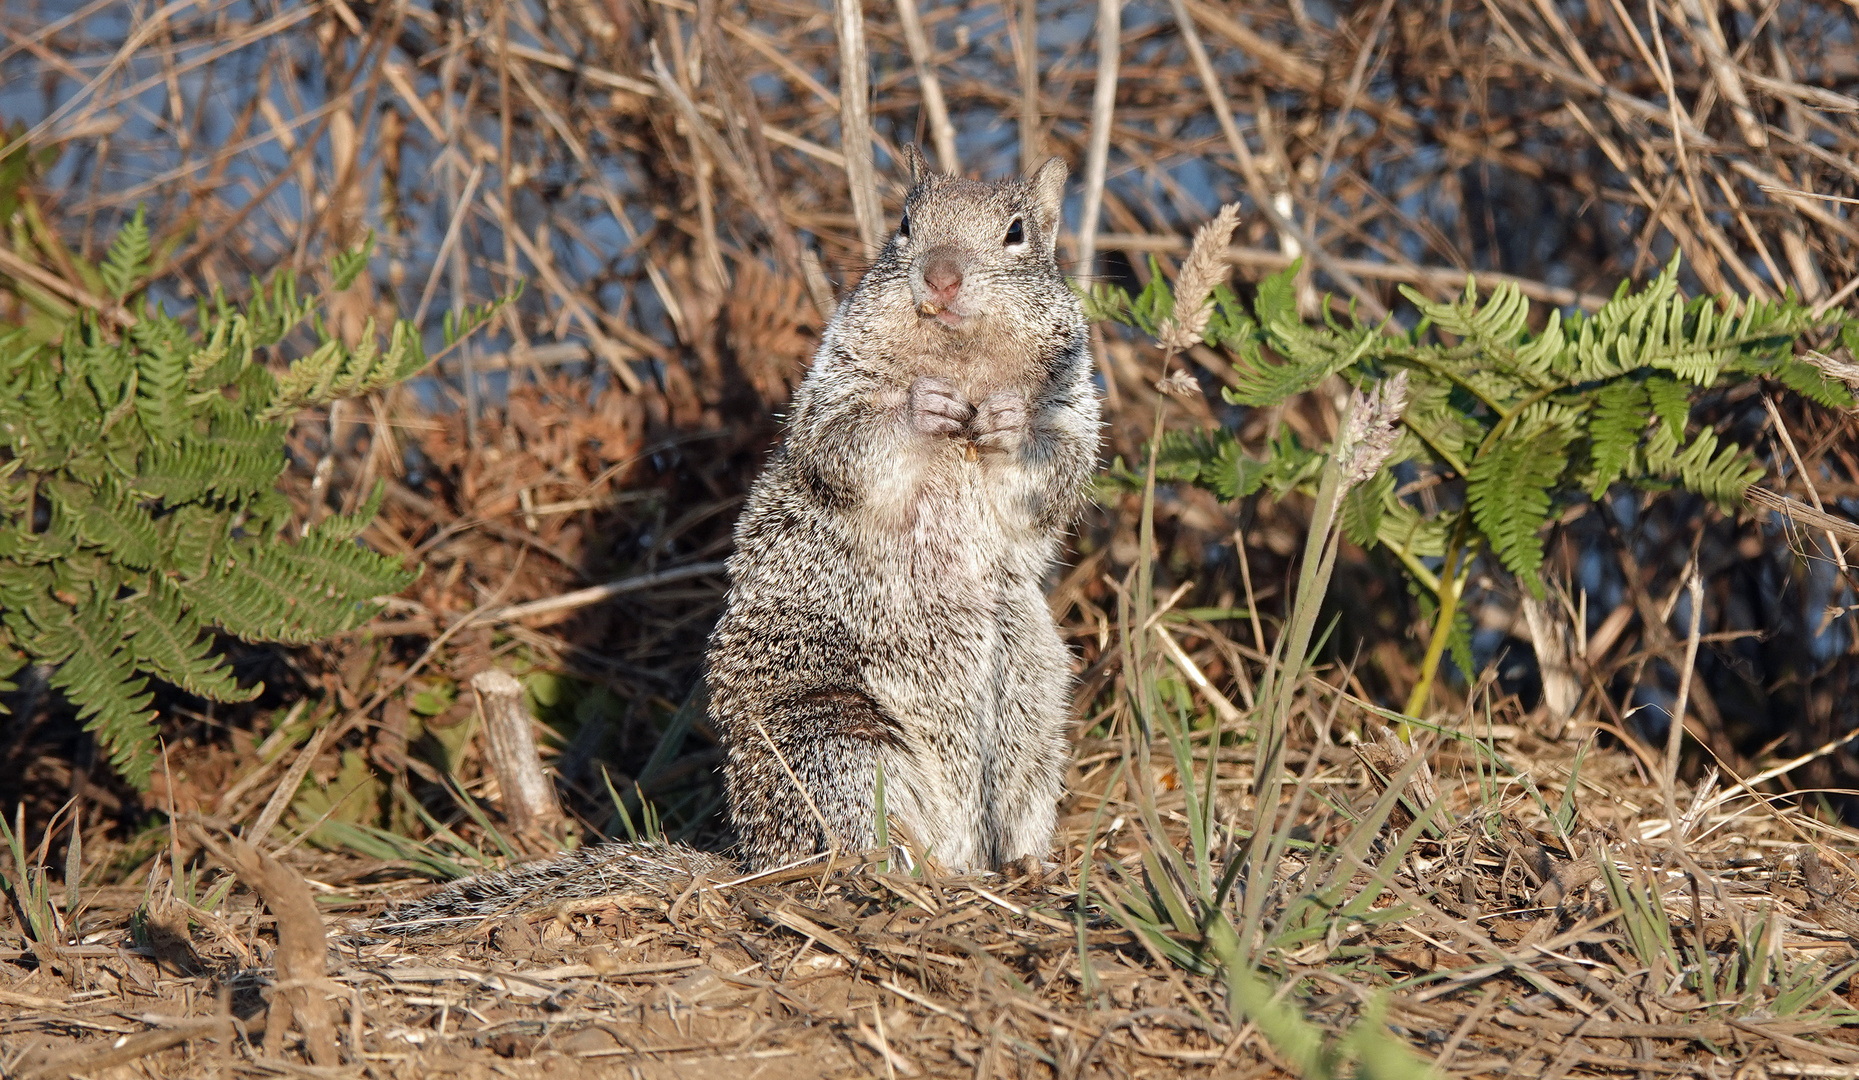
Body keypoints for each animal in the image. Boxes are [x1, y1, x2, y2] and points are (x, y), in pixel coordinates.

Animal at [377, 147, 1100, 929]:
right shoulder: (834, 395)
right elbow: (847, 448)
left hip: (1031, 715)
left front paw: (1007, 422)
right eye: (905, 224)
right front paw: (919, 407)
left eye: (1017, 233)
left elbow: (1057, 474)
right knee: (839, 845)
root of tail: (745, 862)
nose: (941, 275)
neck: (960, 359)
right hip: (834, 741)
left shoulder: (1071, 408)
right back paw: (897, 874)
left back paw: (1025, 868)